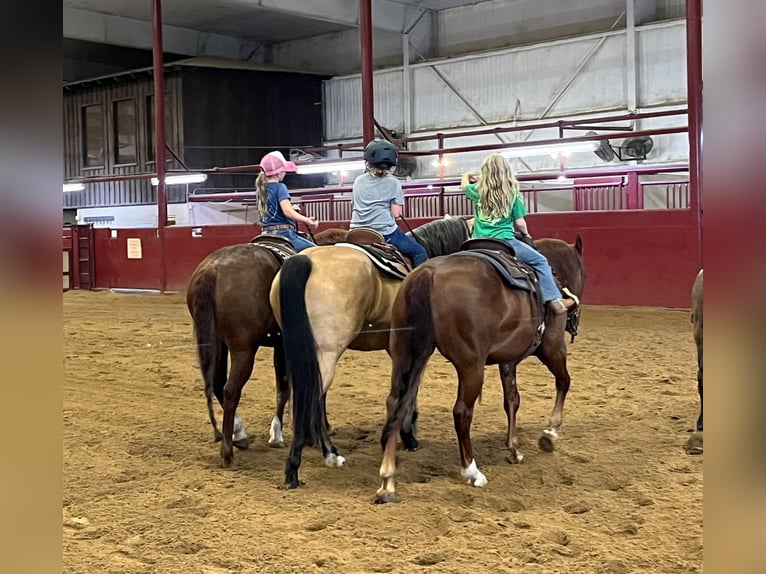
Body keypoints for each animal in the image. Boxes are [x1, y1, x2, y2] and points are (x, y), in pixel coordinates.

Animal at [188, 227, 348, 470]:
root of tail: (211, 270)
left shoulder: (281, 345)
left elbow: (285, 386)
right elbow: (293, 387)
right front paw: (281, 433)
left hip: (216, 342)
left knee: (216, 384)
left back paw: (239, 435)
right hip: (243, 349)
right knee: (230, 390)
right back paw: (228, 452)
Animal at [270, 216, 474, 490]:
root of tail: (307, 261)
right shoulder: (416, 351)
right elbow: (409, 392)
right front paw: (408, 436)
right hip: (326, 353)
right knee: (311, 398)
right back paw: (311, 462)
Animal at [376, 236, 584, 502]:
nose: (575, 320)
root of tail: (427, 274)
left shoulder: (508, 360)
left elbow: (512, 400)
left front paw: (514, 449)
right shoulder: (553, 347)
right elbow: (564, 382)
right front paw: (550, 433)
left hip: (406, 355)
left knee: (396, 403)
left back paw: (387, 480)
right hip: (471, 367)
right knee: (461, 412)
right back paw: (471, 471)